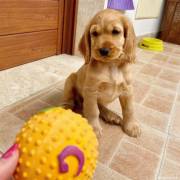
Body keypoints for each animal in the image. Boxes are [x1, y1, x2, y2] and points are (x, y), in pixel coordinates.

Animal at [62, 8, 141, 138]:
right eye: (94, 33)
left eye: (116, 31)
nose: (103, 50)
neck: (111, 65)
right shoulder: (91, 91)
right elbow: (93, 111)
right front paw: (94, 128)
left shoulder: (128, 90)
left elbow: (129, 110)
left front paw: (131, 126)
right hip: (70, 79)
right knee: (69, 99)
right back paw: (67, 107)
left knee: (101, 106)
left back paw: (110, 115)